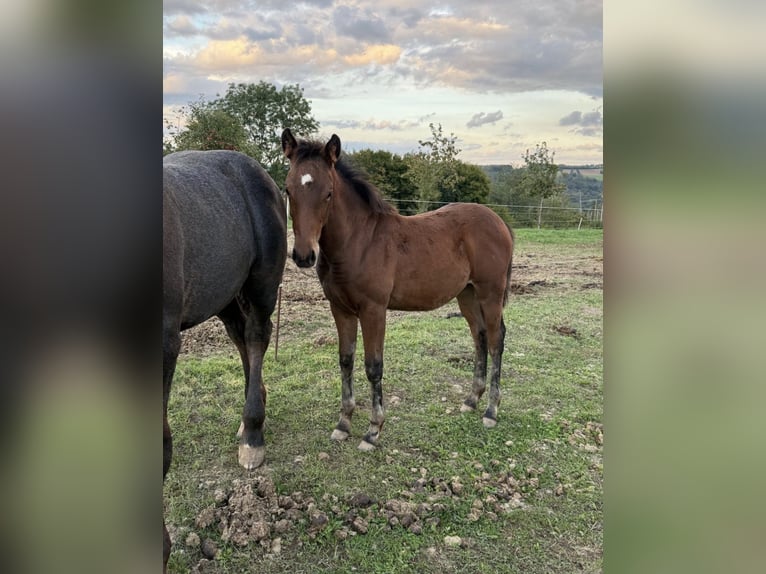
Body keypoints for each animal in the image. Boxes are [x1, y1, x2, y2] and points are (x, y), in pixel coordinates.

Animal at [281, 128, 514, 452]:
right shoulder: (340, 309)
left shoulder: (374, 310)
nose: (304, 256)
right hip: (466, 294)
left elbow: (373, 366)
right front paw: (343, 424)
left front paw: (373, 431)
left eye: (328, 193)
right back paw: (471, 400)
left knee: (495, 339)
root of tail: (499, 222)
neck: (359, 242)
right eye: (288, 190)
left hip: (490, 292)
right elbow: (345, 360)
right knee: (479, 337)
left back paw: (491, 410)